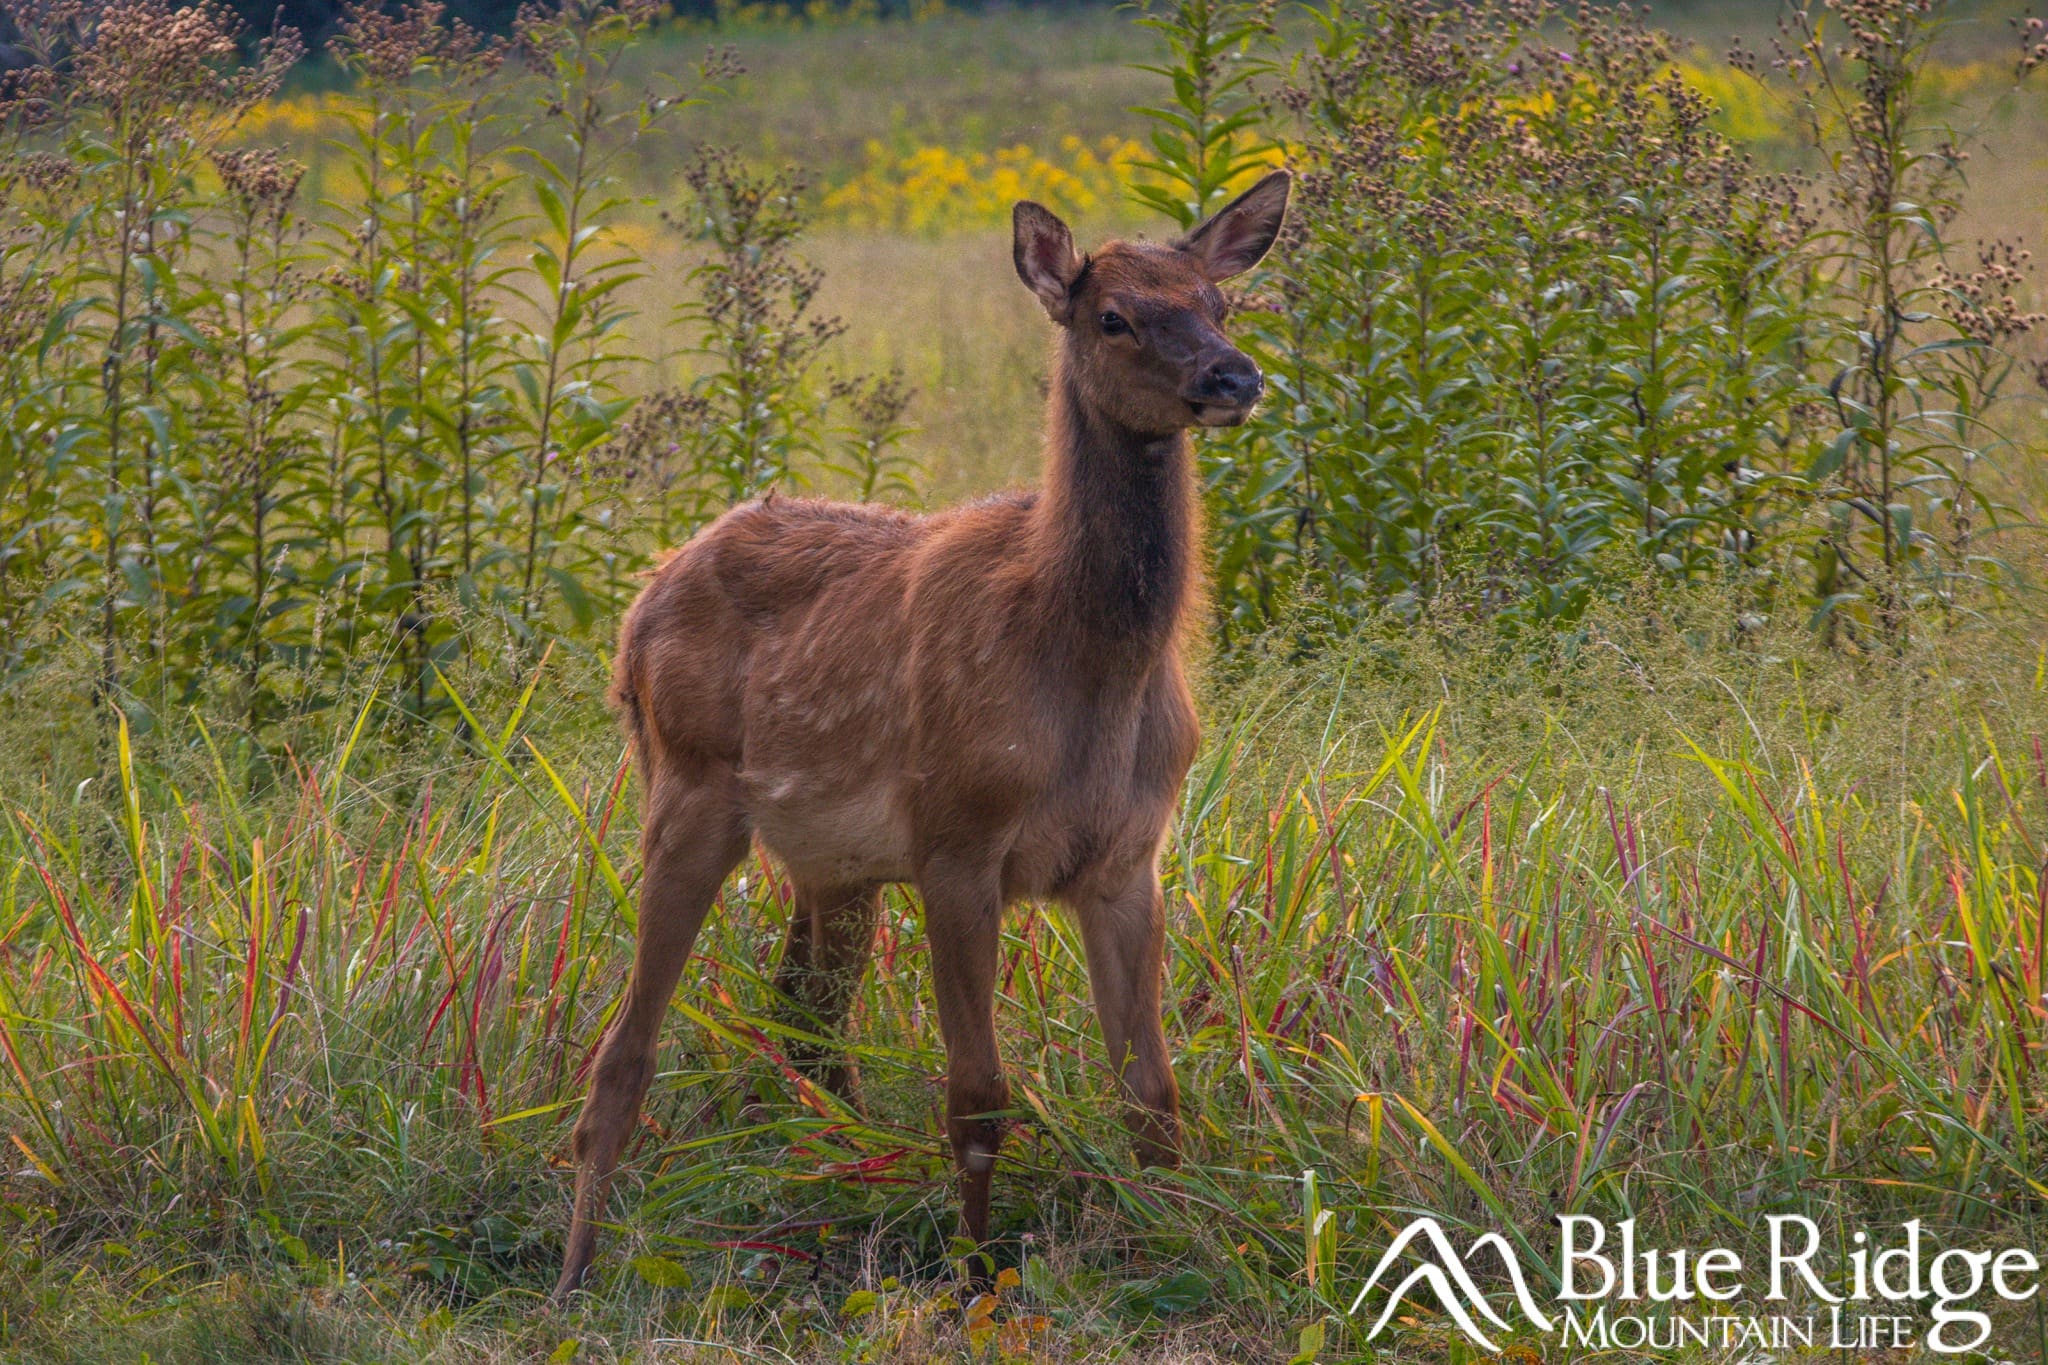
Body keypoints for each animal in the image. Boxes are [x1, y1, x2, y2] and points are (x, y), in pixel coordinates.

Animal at [552, 170, 1292, 1300]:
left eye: (1220, 303)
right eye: (1112, 317)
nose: (1233, 376)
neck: (1083, 664)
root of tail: (639, 605)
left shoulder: (1129, 860)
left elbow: (1152, 1097)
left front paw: (1186, 1250)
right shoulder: (958, 838)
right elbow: (978, 1094)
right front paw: (975, 1279)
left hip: (832, 866)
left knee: (805, 1029)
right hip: (686, 793)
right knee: (625, 1054)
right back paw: (574, 1275)